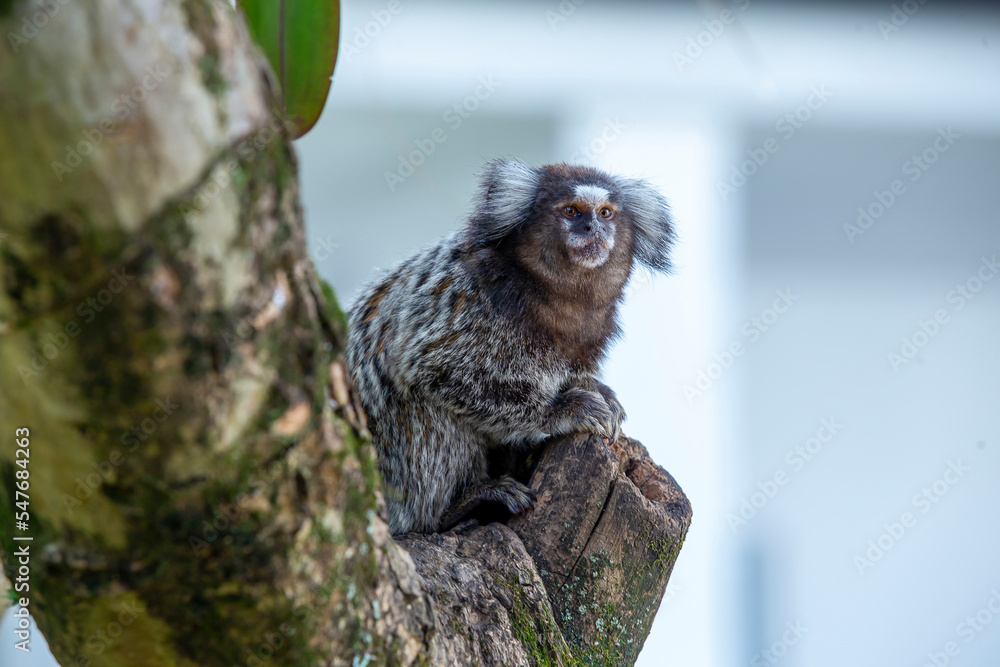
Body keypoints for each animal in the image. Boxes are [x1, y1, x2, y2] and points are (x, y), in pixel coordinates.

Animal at [345, 158, 675, 535]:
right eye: (572, 211)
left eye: (606, 213)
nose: (593, 228)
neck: (554, 297)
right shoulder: (467, 301)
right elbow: (437, 373)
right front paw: (564, 410)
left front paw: (600, 393)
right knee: (425, 413)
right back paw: (457, 506)